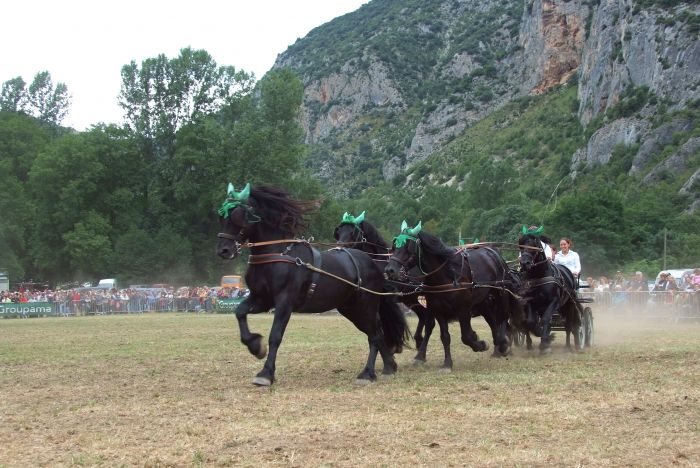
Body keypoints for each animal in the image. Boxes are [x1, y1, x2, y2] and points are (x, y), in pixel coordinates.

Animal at [215, 183, 410, 384]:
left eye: (238, 215)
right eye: (221, 215)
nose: (224, 250)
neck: (277, 253)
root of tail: (373, 264)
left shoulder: (284, 302)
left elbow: (275, 336)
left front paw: (266, 373)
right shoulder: (262, 299)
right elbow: (239, 312)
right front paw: (256, 346)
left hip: (366, 305)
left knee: (375, 335)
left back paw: (368, 372)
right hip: (351, 309)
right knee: (376, 333)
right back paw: (389, 366)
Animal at [334, 214, 442, 364]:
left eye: (353, 232)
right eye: (339, 232)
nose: (339, 248)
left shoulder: (385, 301)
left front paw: (392, 349)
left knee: (429, 322)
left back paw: (420, 355)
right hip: (411, 299)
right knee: (423, 316)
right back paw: (419, 342)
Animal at [382, 220, 520, 370]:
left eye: (408, 246)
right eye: (394, 246)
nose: (390, 270)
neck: (446, 276)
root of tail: (493, 253)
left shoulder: (463, 309)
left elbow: (466, 336)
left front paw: (479, 343)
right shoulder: (439, 310)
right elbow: (445, 337)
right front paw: (447, 363)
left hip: (500, 292)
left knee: (502, 317)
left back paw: (503, 344)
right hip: (483, 301)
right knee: (492, 321)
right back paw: (498, 344)